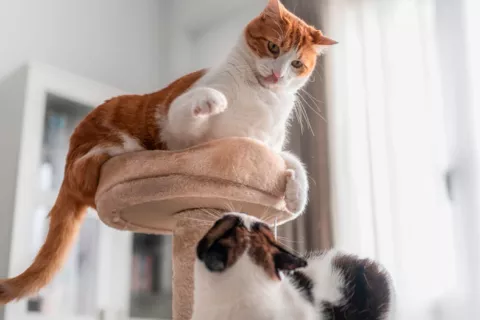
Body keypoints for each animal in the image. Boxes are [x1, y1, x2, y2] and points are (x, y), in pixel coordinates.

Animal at [0, 0, 336, 304]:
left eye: (297, 65)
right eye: (273, 47)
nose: (278, 76)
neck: (259, 96)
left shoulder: (262, 146)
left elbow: (293, 162)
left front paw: (296, 196)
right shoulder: (180, 130)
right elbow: (186, 109)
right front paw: (211, 100)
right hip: (101, 150)